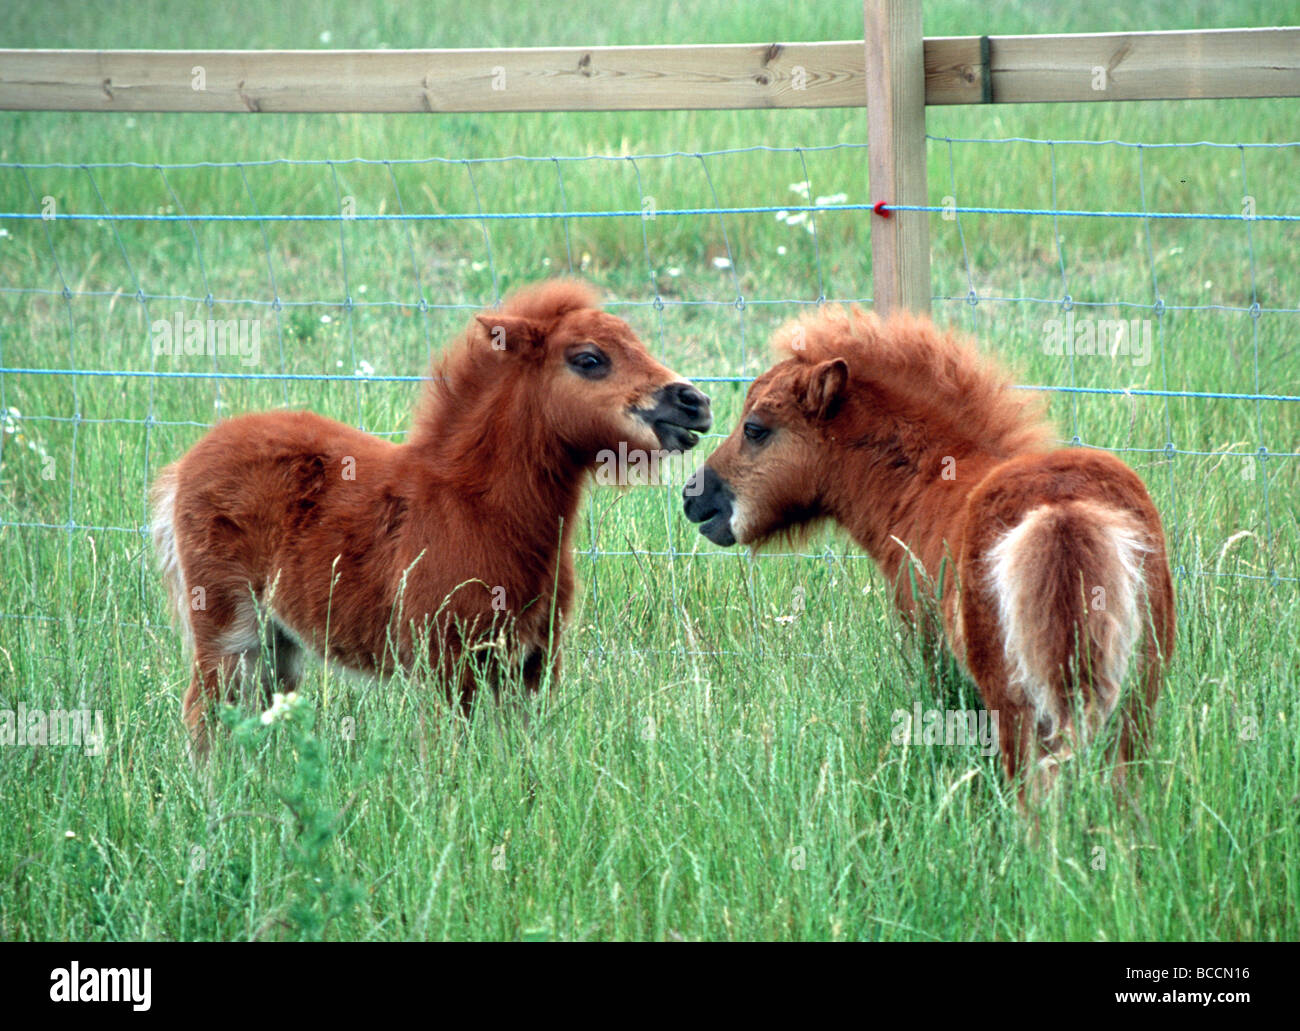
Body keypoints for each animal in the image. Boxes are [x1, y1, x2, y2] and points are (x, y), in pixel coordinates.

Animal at [152, 279, 712, 754]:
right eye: (590, 359)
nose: (695, 403)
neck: (478, 509)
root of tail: (185, 465)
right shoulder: (443, 660)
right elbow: (446, 757)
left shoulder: (531, 663)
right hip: (226, 628)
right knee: (205, 715)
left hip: (278, 642)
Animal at [686, 308, 1175, 806]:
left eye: (755, 429)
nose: (694, 497)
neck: (928, 483)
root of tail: (1063, 510)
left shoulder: (930, 647)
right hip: (1137, 696)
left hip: (1019, 706)